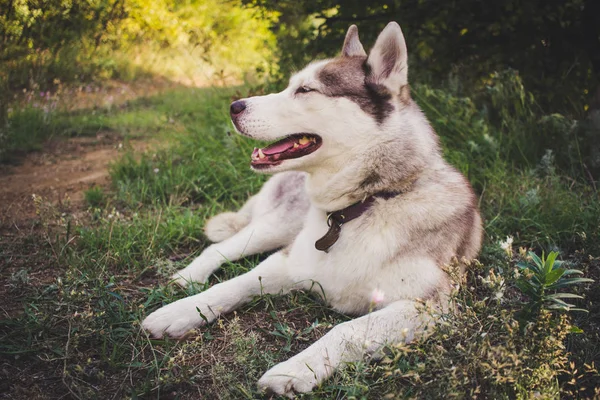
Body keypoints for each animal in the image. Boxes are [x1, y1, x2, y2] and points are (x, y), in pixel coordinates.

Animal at [142, 22, 482, 396]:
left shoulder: (427, 307)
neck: (362, 205)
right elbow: (232, 285)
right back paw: (188, 277)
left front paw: (293, 370)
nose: (234, 106)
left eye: (305, 90)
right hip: (277, 227)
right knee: (221, 248)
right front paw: (180, 312)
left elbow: (346, 330)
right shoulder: (289, 261)